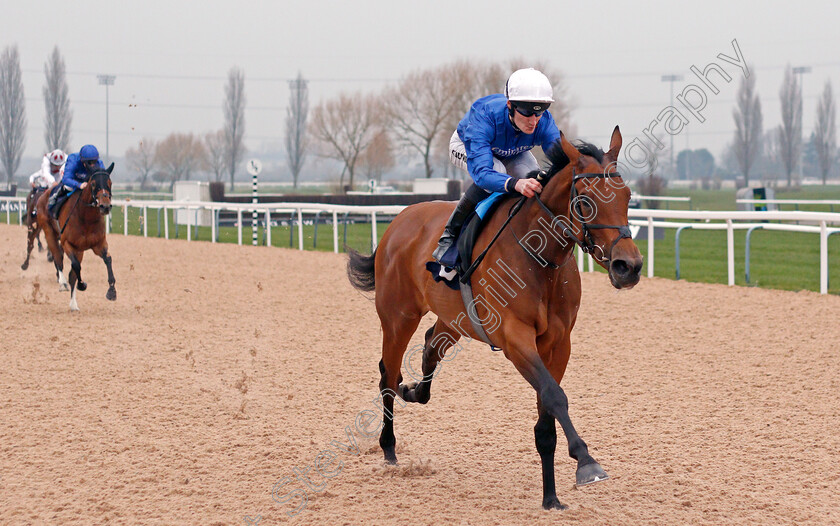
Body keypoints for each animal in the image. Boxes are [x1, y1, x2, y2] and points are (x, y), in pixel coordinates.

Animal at [23, 167, 117, 312]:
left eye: (110, 182)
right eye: (93, 184)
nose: (105, 206)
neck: (86, 217)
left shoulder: (98, 244)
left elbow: (108, 259)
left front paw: (111, 291)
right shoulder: (67, 243)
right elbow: (75, 266)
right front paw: (81, 284)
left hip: (78, 249)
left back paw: (73, 304)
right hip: (44, 228)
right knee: (53, 254)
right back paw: (59, 281)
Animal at [348, 128, 644, 512]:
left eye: (627, 195)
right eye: (584, 201)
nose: (629, 266)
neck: (541, 258)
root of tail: (399, 221)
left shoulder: (558, 343)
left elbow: (547, 411)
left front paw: (551, 497)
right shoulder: (515, 339)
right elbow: (555, 395)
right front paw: (587, 463)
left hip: (454, 317)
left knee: (429, 348)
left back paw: (413, 390)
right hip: (398, 315)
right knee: (388, 372)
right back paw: (388, 447)